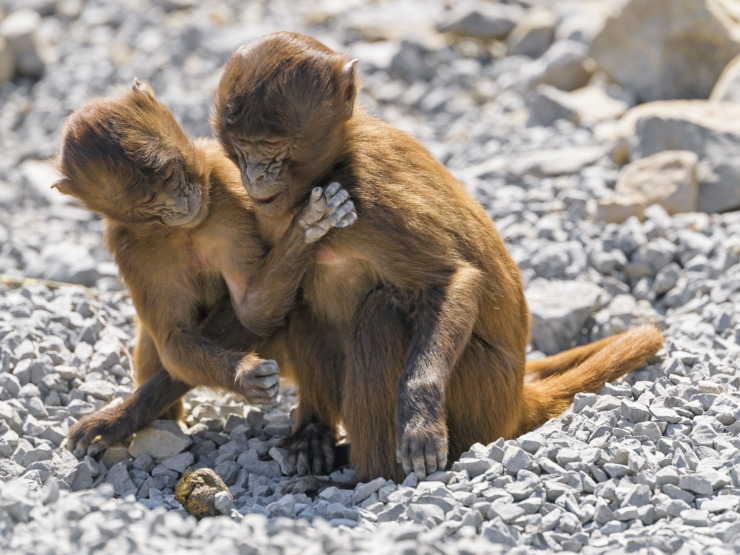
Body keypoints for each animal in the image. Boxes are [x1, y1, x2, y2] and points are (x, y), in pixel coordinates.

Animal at [55, 80, 356, 458]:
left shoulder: (228, 196)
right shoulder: (130, 246)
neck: (182, 230)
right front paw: (240, 376)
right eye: (149, 201)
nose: (181, 204)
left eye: (170, 174)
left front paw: (307, 225)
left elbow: (251, 311)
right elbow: (174, 340)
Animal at [210, 31, 664, 482]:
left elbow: (450, 280)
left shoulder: (369, 200)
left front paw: (419, 413)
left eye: (272, 145)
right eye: (241, 146)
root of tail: (517, 397)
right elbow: (254, 312)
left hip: (482, 394)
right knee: (304, 310)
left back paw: (374, 476)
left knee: (380, 314)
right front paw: (307, 227)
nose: (254, 175)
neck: (331, 166)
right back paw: (315, 436)